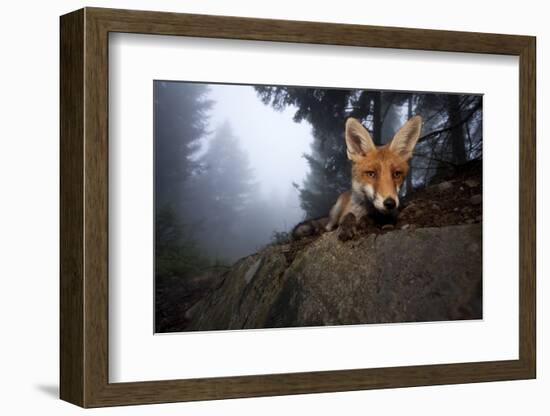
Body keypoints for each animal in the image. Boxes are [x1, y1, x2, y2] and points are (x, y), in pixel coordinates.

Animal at [296, 115, 424, 240]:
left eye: (396, 174)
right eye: (371, 174)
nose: (390, 203)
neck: (367, 210)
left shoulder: (389, 215)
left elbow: (376, 218)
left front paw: (366, 221)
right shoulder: (347, 213)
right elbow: (349, 215)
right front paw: (346, 226)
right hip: (336, 211)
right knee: (328, 225)